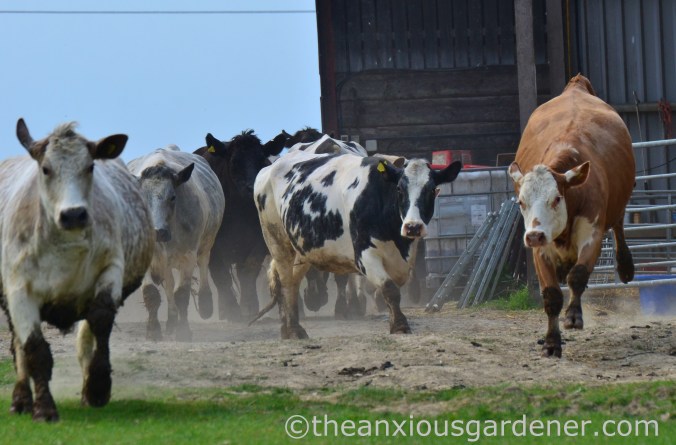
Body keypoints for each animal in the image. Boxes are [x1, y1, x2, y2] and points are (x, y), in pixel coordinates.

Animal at [0, 119, 154, 421]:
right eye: (46, 168)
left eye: (90, 166)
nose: (73, 214)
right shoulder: (18, 290)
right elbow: (34, 349)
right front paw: (44, 408)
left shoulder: (110, 269)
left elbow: (100, 321)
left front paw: (98, 386)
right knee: (19, 346)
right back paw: (21, 399)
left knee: (85, 337)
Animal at [128, 147, 225, 341]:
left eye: (172, 197)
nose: (158, 231)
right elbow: (152, 293)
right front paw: (153, 330)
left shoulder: (188, 256)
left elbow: (182, 294)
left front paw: (183, 331)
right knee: (169, 285)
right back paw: (171, 321)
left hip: (206, 243)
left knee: (203, 264)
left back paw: (204, 304)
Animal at [193, 130, 287, 320]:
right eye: (234, 162)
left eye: (261, 160)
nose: (251, 187)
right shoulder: (212, 245)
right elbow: (221, 275)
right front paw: (231, 309)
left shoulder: (260, 241)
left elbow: (249, 270)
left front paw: (249, 305)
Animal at [253, 149, 462, 338]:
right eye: (399, 189)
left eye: (431, 190)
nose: (413, 227)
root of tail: (269, 168)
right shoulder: (364, 255)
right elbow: (389, 288)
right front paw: (400, 325)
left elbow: (390, 289)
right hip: (277, 241)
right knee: (286, 283)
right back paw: (294, 330)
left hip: (301, 249)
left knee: (290, 282)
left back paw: (287, 327)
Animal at [508, 74, 635, 358]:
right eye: (521, 202)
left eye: (556, 198)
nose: (534, 235)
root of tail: (576, 86)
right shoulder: (540, 249)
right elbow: (552, 295)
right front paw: (551, 343)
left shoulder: (592, 233)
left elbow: (577, 276)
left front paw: (574, 316)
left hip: (618, 207)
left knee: (619, 226)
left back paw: (625, 267)